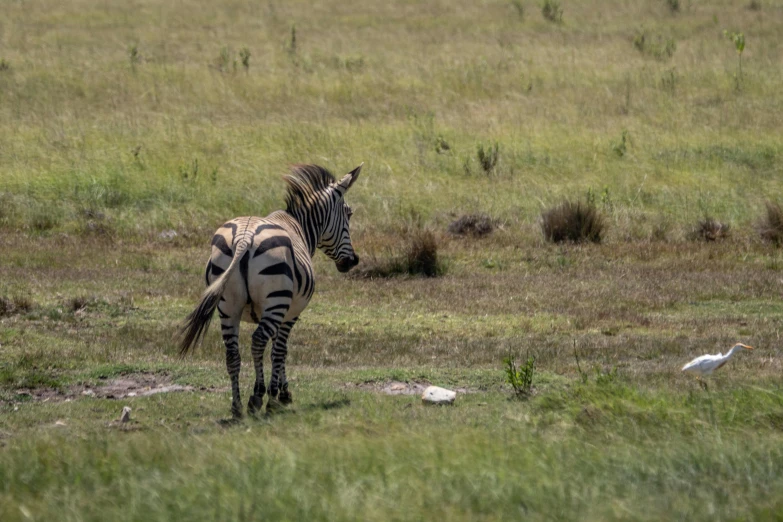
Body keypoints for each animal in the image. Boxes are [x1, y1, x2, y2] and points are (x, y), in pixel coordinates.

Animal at [179, 160, 362, 416]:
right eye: (349, 213)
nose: (353, 261)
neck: (299, 226)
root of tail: (244, 239)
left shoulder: (275, 311)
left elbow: (275, 346)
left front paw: (278, 391)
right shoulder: (289, 312)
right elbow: (280, 349)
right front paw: (278, 395)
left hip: (228, 306)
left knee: (232, 353)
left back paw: (237, 406)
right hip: (275, 300)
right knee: (257, 341)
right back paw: (257, 397)